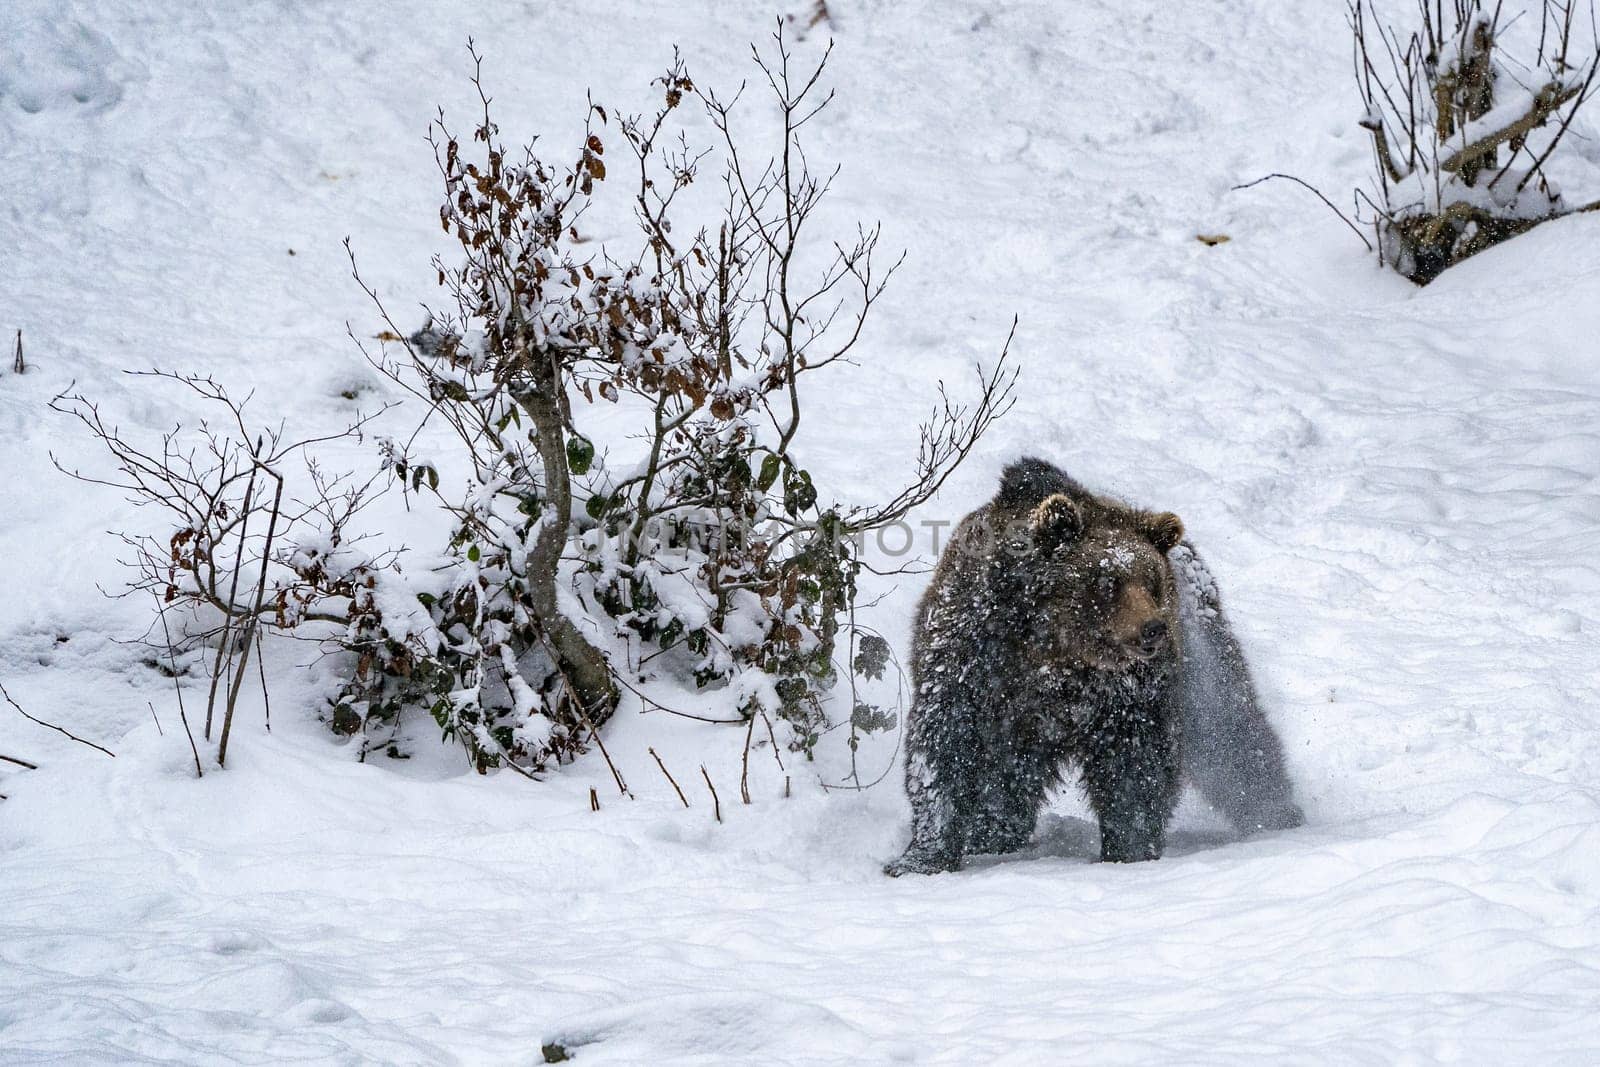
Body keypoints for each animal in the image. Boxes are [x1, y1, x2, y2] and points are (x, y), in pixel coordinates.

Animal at [889, 457, 1299, 876]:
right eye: (1106, 581)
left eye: (1151, 580)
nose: (1153, 628)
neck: (1060, 652)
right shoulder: (976, 659)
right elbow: (943, 746)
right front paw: (921, 857)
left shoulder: (1129, 691)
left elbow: (1136, 765)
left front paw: (1128, 848)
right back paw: (992, 832)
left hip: (1201, 655)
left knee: (1234, 731)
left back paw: (1279, 812)